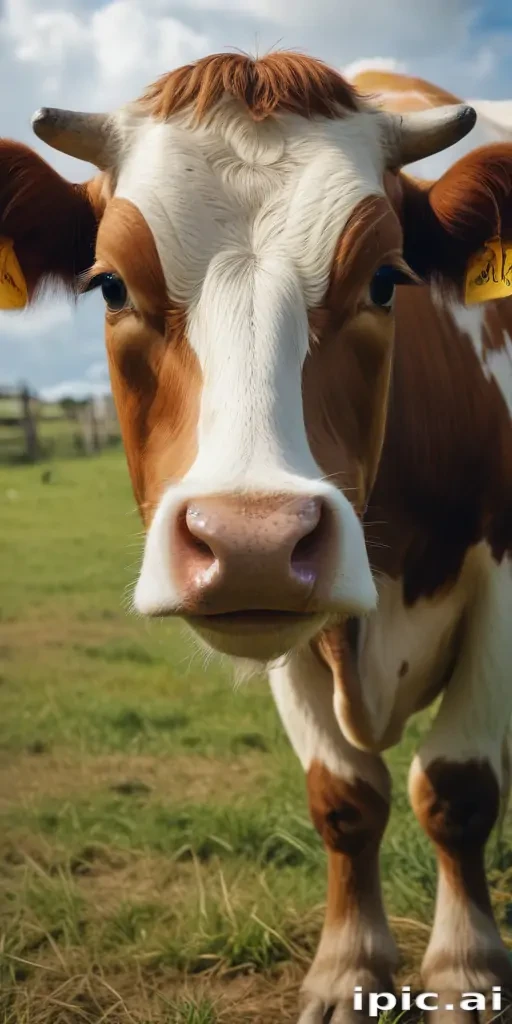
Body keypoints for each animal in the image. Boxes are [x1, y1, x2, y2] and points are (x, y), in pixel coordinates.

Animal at [0, 52, 511, 1024]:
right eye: (110, 284)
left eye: (386, 278)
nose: (252, 540)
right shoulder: (284, 628)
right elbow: (345, 796)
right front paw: (349, 969)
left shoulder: (504, 578)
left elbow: (459, 785)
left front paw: (466, 970)